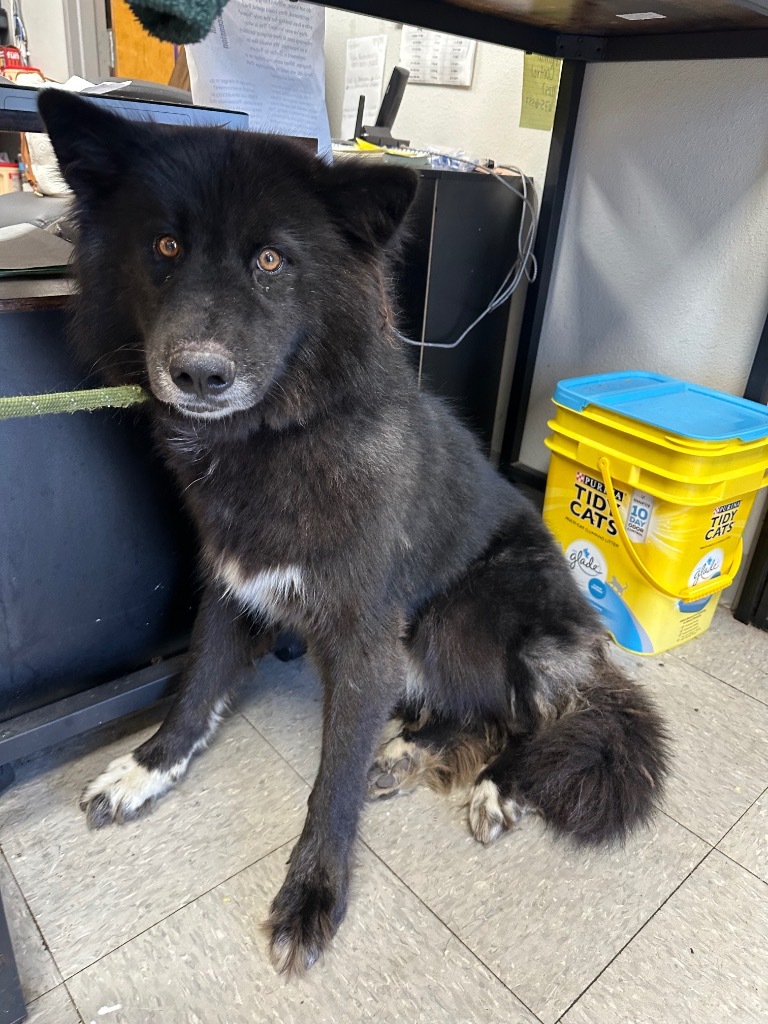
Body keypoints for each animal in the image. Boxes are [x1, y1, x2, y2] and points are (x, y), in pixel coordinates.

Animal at [39, 94, 671, 974]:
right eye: (164, 247)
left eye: (272, 261)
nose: (198, 373)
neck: (274, 440)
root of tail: (586, 642)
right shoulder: (232, 592)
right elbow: (195, 691)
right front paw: (148, 768)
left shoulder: (368, 643)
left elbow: (331, 781)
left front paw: (314, 893)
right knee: (472, 712)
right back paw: (409, 751)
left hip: (462, 617)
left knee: (534, 719)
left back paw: (497, 783)